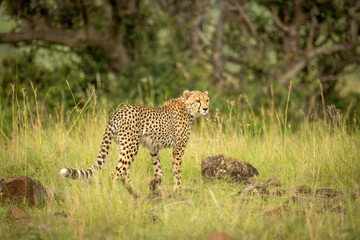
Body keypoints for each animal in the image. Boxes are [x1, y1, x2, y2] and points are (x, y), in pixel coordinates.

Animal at [60, 90, 210, 197]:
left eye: (207, 100)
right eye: (198, 100)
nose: (206, 108)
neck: (187, 107)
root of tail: (118, 112)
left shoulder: (153, 147)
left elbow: (158, 170)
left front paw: (154, 184)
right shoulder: (179, 147)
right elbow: (177, 170)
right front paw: (177, 190)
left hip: (124, 147)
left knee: (123, 174)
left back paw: (136, 194)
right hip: (131, 147)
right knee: (114, 174)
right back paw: (113, 198)